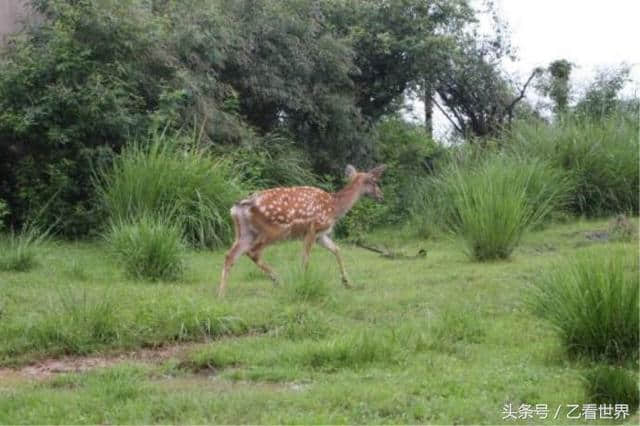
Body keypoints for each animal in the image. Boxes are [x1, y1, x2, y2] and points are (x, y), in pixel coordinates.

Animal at [218, 165, 384, 298]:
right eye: (374, 182)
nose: (381, 196)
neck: (334, 207)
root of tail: (238, 208)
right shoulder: (312, 228)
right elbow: (305, 258)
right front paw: (303, 281)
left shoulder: (321, 235)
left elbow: (336, 249)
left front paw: (347, 282)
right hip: (273, 230)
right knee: (253, 252)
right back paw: (278, 280)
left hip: (244, 232)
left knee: (230, 255)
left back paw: (221, 293)